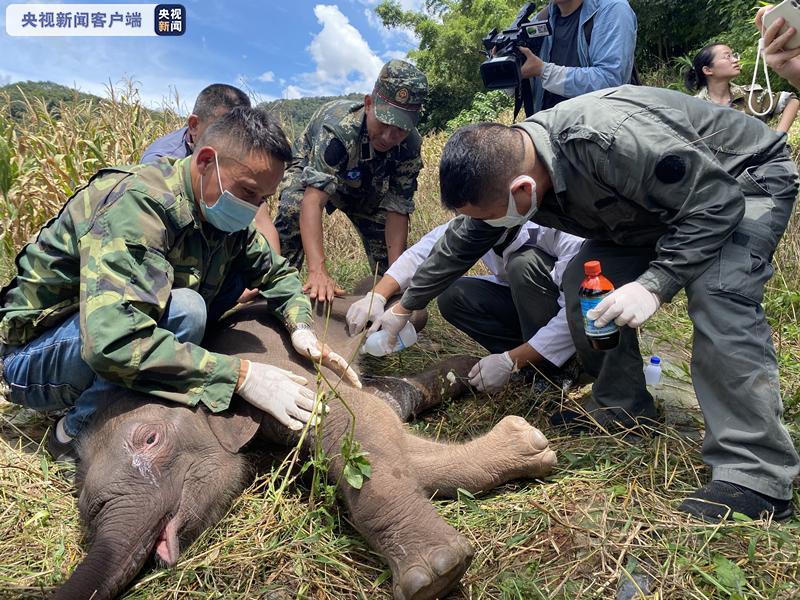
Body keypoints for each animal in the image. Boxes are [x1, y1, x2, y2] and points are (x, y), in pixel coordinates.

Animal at [54, 296, 556, 600]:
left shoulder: (288, 371)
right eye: (82, 496)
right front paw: (527, 444)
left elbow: (362, 421)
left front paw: (435, 575)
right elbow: (391, 432)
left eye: (150, 439)